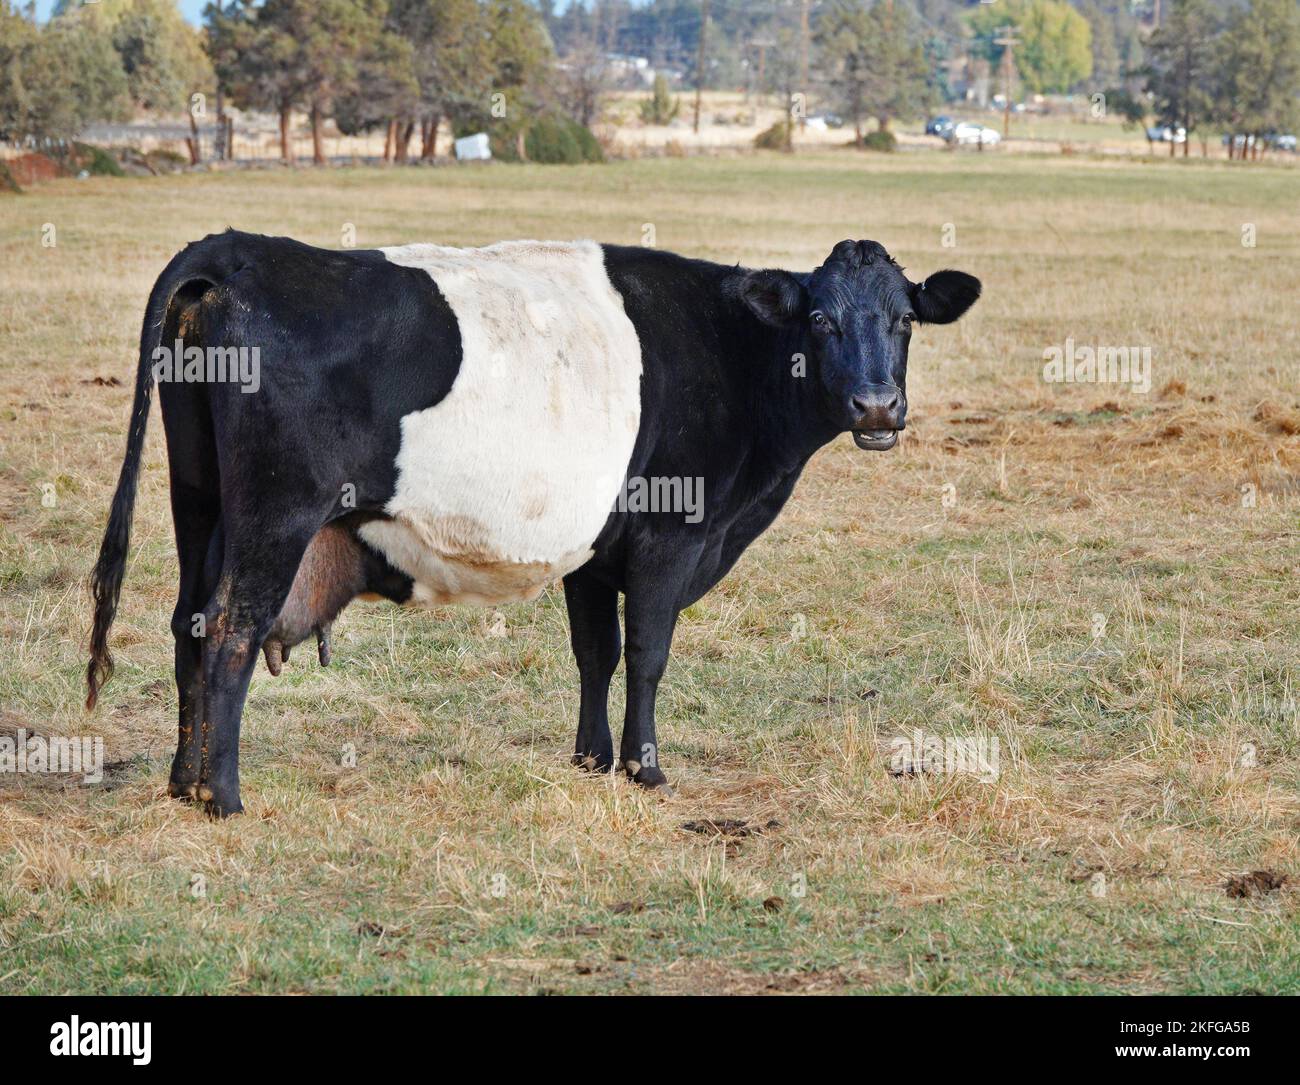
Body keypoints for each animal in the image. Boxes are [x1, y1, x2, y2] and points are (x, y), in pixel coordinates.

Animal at [86, 231, 980, 817]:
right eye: (822, 320)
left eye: (905, 320)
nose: (877, 406)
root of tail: (238, 249)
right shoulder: (671, 536)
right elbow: (648, 653)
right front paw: (645, 768)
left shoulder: (596, 550)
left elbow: (596, 651)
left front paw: (590, 758)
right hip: (276, 513)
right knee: (231, 627)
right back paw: (224, 795)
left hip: (200, 500)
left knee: (188, 621)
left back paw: (182, 779)